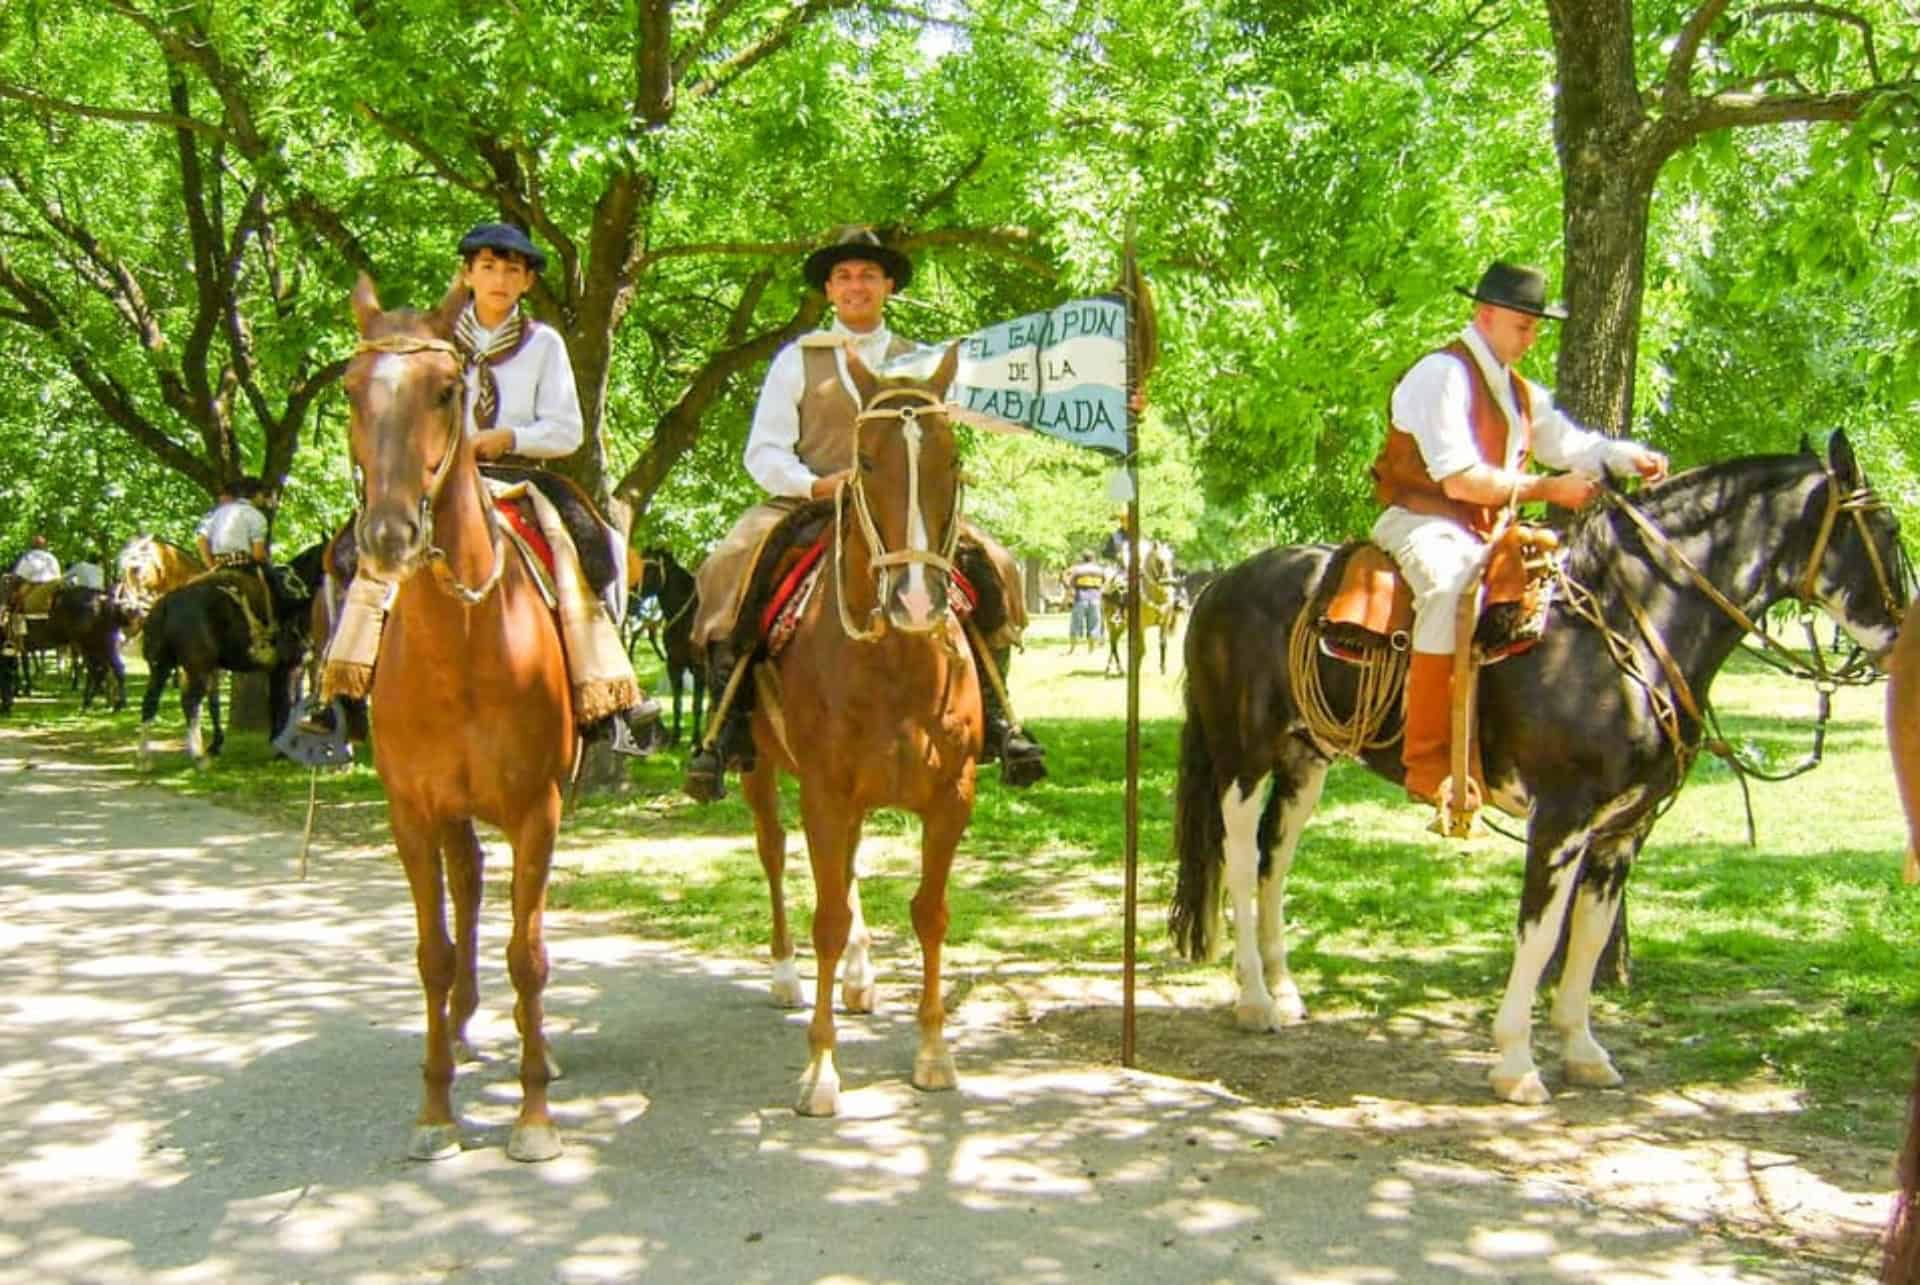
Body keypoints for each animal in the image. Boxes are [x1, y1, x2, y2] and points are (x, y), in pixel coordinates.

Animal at [345, 276, 572, 1160]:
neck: (466, 641)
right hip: (450, 811)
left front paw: (535, 1111)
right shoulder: (412, 810)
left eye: (446, 389)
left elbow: (529, 953)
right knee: (468, 883)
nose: (389, 534)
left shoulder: (538, 808)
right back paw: (466, 1023)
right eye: (350, 389)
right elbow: (433, 954)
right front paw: (435, 1108)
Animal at [637, 545, 706, 745]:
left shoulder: (700, 668)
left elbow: (697, 705)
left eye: (650, 569)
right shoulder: (674, 665)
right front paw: (675, 737)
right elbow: (677, 703)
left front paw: (697, 742)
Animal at [733, 345, 975, 1114]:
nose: (917, 600)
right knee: (776, 855)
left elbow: (930, 913)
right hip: (759, 770)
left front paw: (933, 1050)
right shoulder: (825, 794)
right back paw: (786, 975)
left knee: (848, 866)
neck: (897, 660)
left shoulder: (951, 798)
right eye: (865, 463)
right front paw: (821, 1069)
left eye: (953, 457)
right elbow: (828, 918)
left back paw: (862, 979)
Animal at [1167, 434, 1904, 1106]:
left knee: (1274, 863)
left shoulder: (1621, 832)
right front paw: (1517, 1062)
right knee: (1239, 862)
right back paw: (1255, 999)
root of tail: (1220, 584)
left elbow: (1590, 935)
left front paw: (1583, 1049)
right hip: (1243, 760)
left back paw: (1285, 991)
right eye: (1889, 528)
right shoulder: (1562, 819)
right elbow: (1542, 931)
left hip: (1305, 763)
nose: (1901, 638)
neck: (1627, 627)